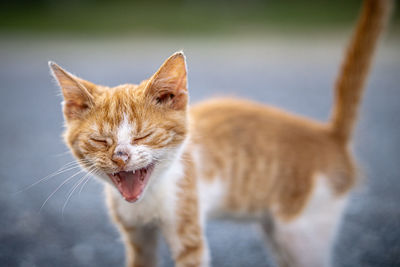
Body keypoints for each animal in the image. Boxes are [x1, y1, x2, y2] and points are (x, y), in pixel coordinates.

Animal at [48, 1, 392, 266]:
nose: (120, 157)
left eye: (143, 136)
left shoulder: (188, 224)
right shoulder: (136, 237)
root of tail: (329, 134)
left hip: (303, 228)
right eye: (100, 140)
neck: (148, 200)